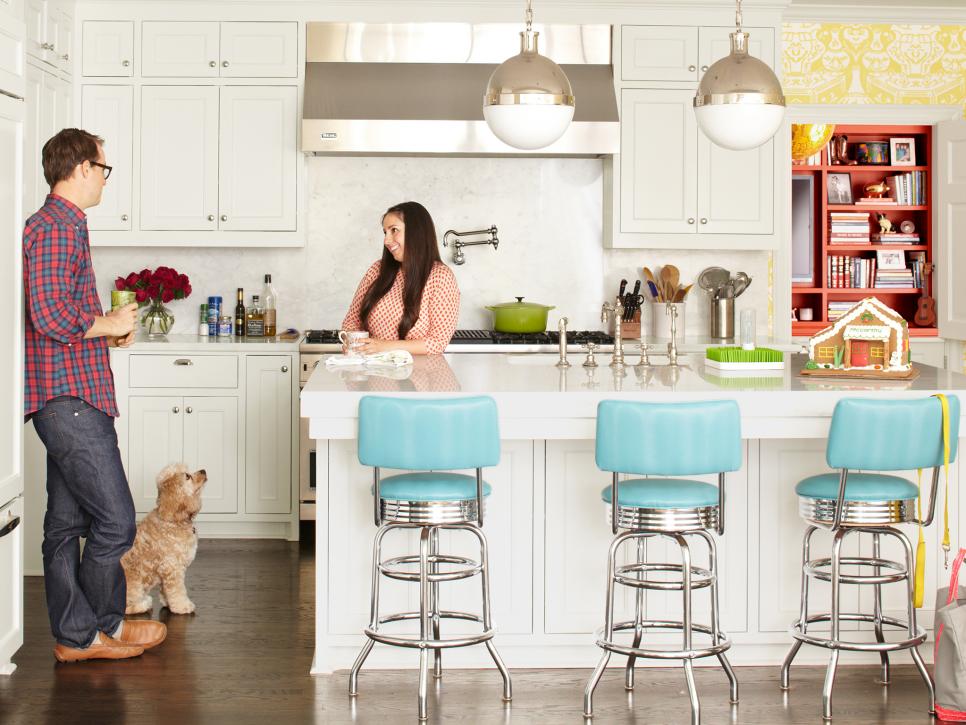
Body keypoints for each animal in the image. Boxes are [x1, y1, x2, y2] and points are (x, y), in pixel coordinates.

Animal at [122, 464, 207, 612]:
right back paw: (145, 603)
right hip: (134, 587)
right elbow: (178, 591)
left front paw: (168, 603)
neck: (172, 519)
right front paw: (183, 606)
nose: (203, 470)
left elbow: (166, 591)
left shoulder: (166, 571)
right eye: (187, 476)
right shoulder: (172, 567)